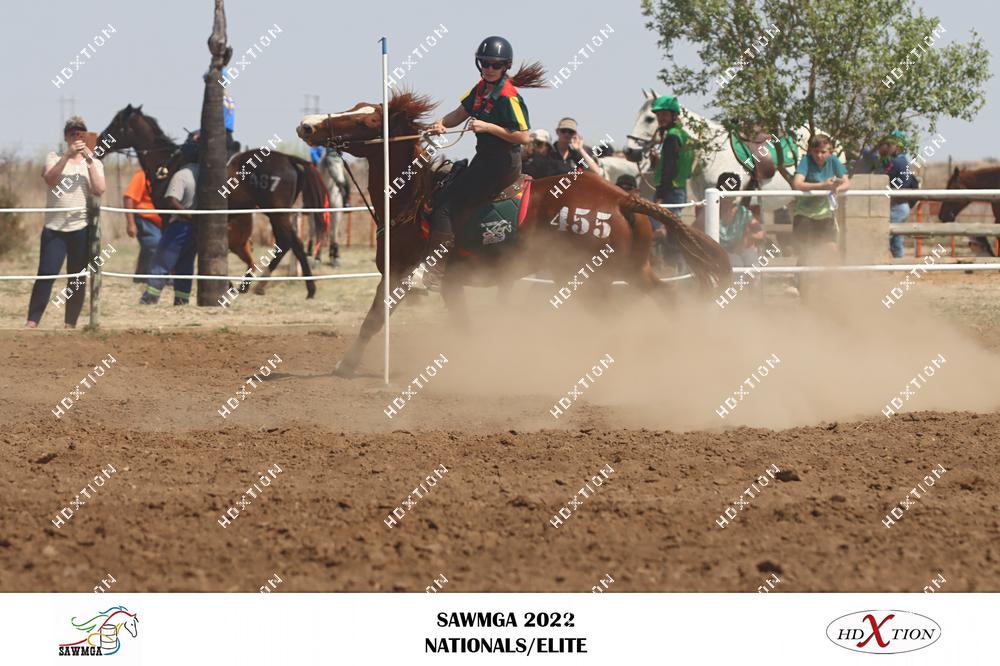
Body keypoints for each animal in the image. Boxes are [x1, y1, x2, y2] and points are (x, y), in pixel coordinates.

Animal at [96, 105, 327, 297]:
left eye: (117, 122)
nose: (99, 142)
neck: (166, 163)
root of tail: (288, 158)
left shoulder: (170, 214)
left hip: (276, 212)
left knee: (289, 241)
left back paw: (275, 285)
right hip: (277, 213)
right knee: (289, 242)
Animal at [296, 87, 731, 377]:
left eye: (366, 120)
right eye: (355, 108)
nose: (307, 124)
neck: (414, 200)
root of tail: (623, 199)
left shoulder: (404, 273)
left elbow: (379, 319)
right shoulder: (437, 282)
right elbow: (386, 320)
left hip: (590, 280)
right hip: (632, 271)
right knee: (666, 299)